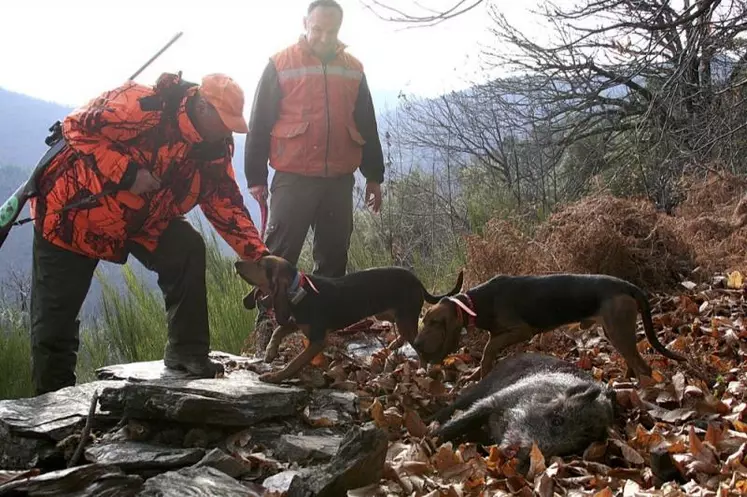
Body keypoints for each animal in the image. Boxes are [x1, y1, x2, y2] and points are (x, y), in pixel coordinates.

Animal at [237, 256, 464, 384]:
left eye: (260, 264)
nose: (237, 263)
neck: (298, 290)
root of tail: (417, 281)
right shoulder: (299, 322)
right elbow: (278, 330)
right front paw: (270, 351)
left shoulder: (318, 340)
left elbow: (294, 362)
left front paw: (275, 376)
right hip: (388, 314)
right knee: (409, 331)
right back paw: (392, 345)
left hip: (404, 317)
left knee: (418, 343)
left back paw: (422, 368)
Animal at [414, 272, 688, 380]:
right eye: (424, 321)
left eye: (434, 322)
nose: (415, 344)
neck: (477, 302)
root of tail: (627, 286)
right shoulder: (499, 333)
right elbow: (487, 353)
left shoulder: (521, 331)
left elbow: (488, 350)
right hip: (615, 332)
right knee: (632, 361)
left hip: (619, 331)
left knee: (643, 368)